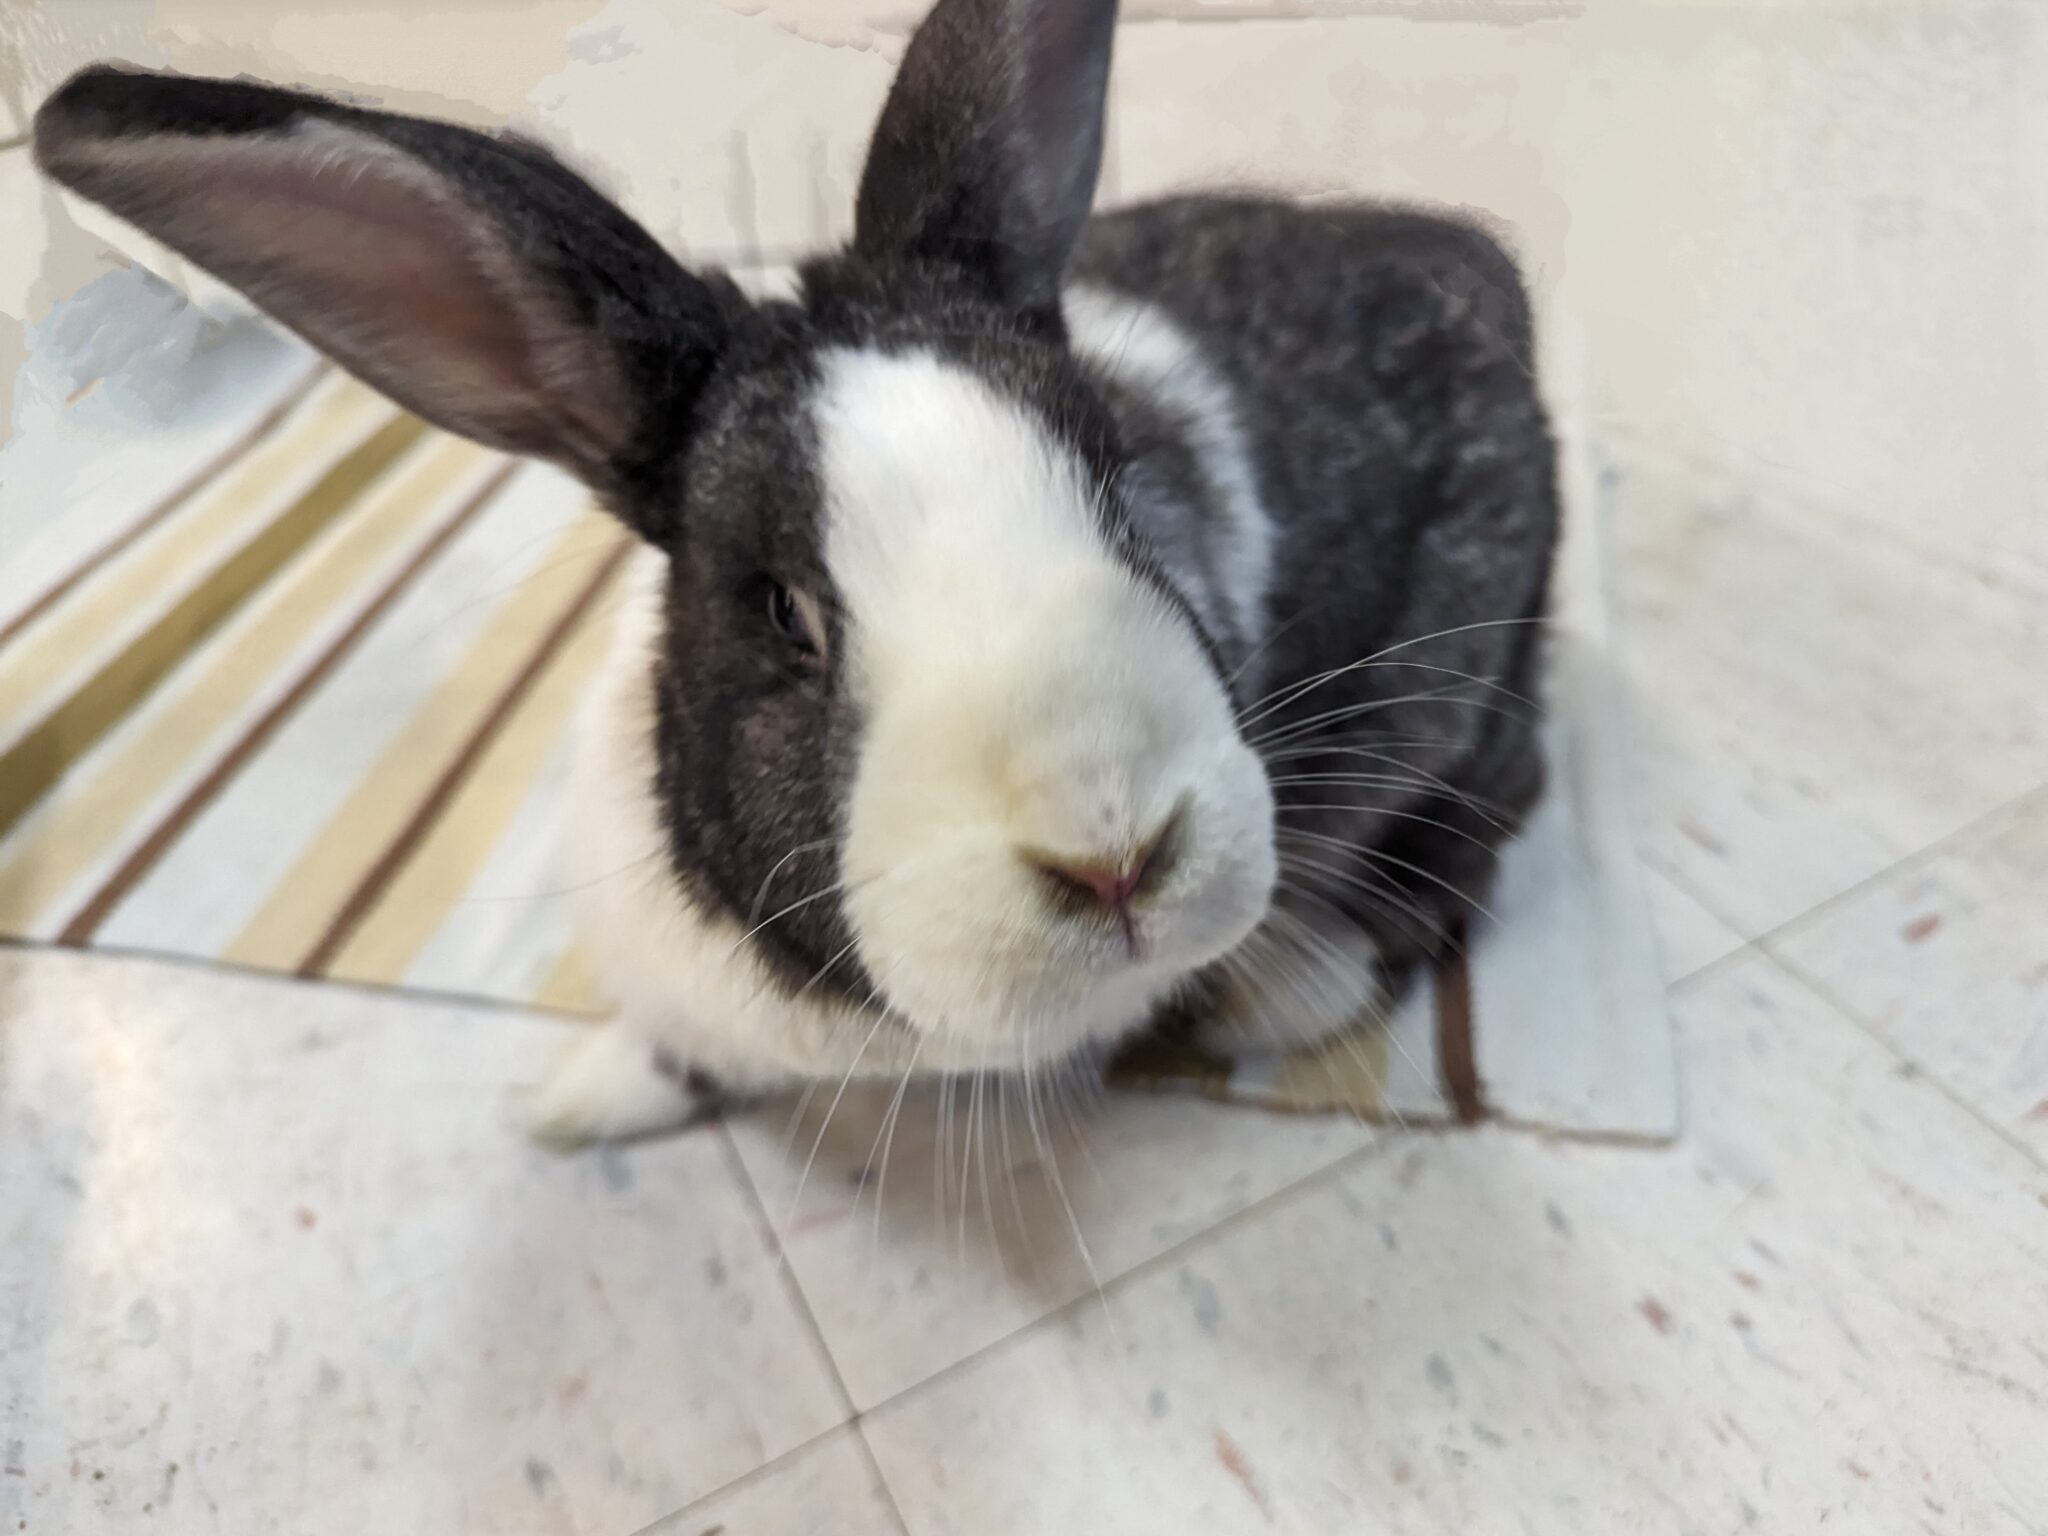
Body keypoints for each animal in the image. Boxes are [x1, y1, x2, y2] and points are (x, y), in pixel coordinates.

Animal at [33, 0, 1558, 1146]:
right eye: (782, 611)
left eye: (1122, 490)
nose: (1114, 856)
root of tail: (1477, 266)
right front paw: (577, 1103)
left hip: (1456, 684)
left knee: (1475, 827)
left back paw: (1285, 990)